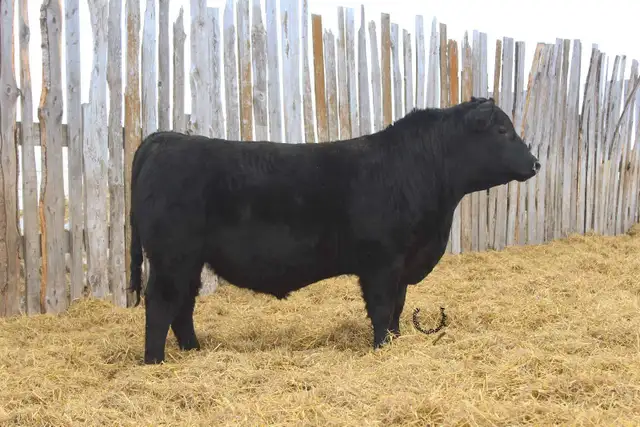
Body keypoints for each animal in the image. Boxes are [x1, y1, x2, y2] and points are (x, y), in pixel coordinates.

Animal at [128, 96, 540, 364]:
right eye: (502, 130)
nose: (536, 163)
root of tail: (166, 138)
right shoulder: (382, 263)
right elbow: (382, 308)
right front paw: (381, 349)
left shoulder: (402, 264)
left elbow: (398, 308)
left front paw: (395, 342)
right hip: (172, 256)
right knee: (161, 304)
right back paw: (155, 362)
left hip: (189, 260)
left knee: (183, 305)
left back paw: (193, 352)